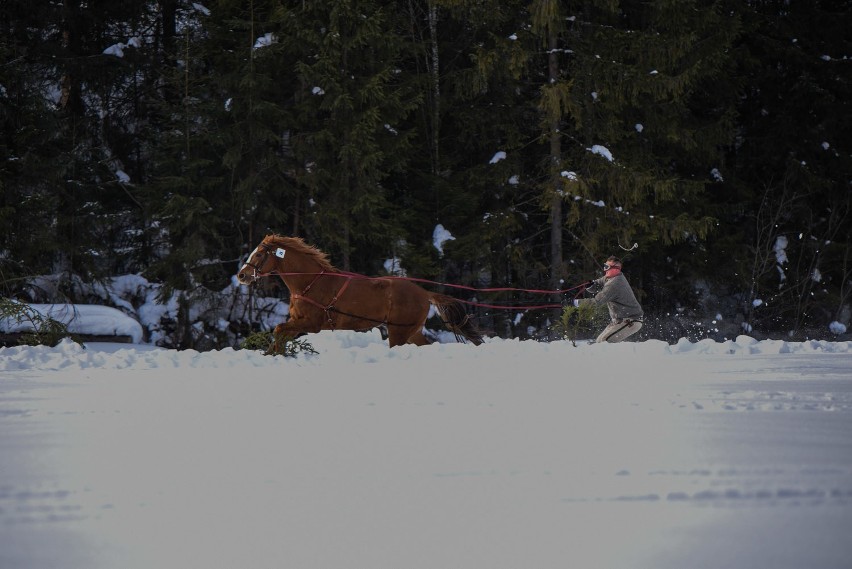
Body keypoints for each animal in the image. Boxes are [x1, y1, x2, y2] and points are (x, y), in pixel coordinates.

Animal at [236, 234, 482, 346]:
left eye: (259, 254)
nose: (241, 275)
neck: (311, 283)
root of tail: (424, 293)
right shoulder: (298, 322)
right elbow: (280, 334)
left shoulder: (312, 325)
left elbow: (278, 329)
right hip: (411, 332)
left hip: (399, 333)